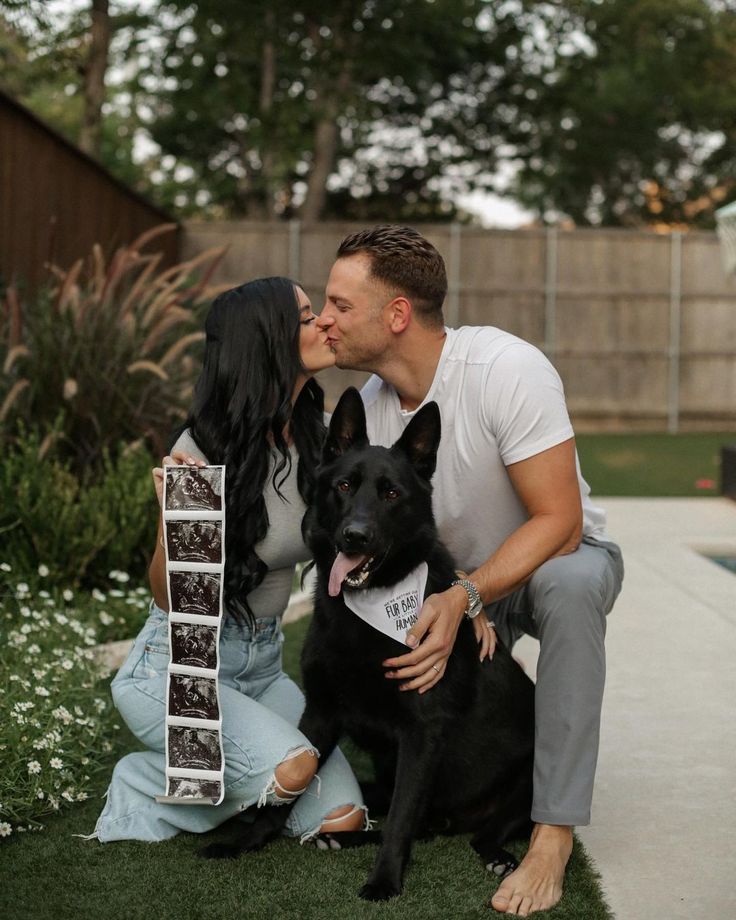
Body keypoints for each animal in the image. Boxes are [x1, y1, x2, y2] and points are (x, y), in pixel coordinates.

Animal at [201, 386, 536, 900]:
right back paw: (343, 836)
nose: (354, 536)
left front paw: (384, 881)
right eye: (343, 486)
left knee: (475, 831)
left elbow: (400, 817)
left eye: (391, 494)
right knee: (423, 824)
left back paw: (499, 857)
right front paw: (246, 841)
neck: (370, 609)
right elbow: (287, 792)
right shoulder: (321, 714)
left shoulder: (421, 735)